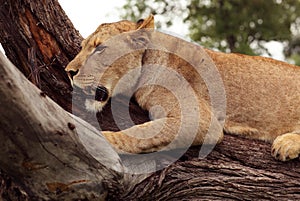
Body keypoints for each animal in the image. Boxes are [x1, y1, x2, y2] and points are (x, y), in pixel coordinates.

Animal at [65, 14, 300, 161]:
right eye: (82, 47)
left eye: (99, 49)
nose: (69, 71)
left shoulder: (200, 120)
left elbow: (140, 133)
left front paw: (97, 140)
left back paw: (285, 144)